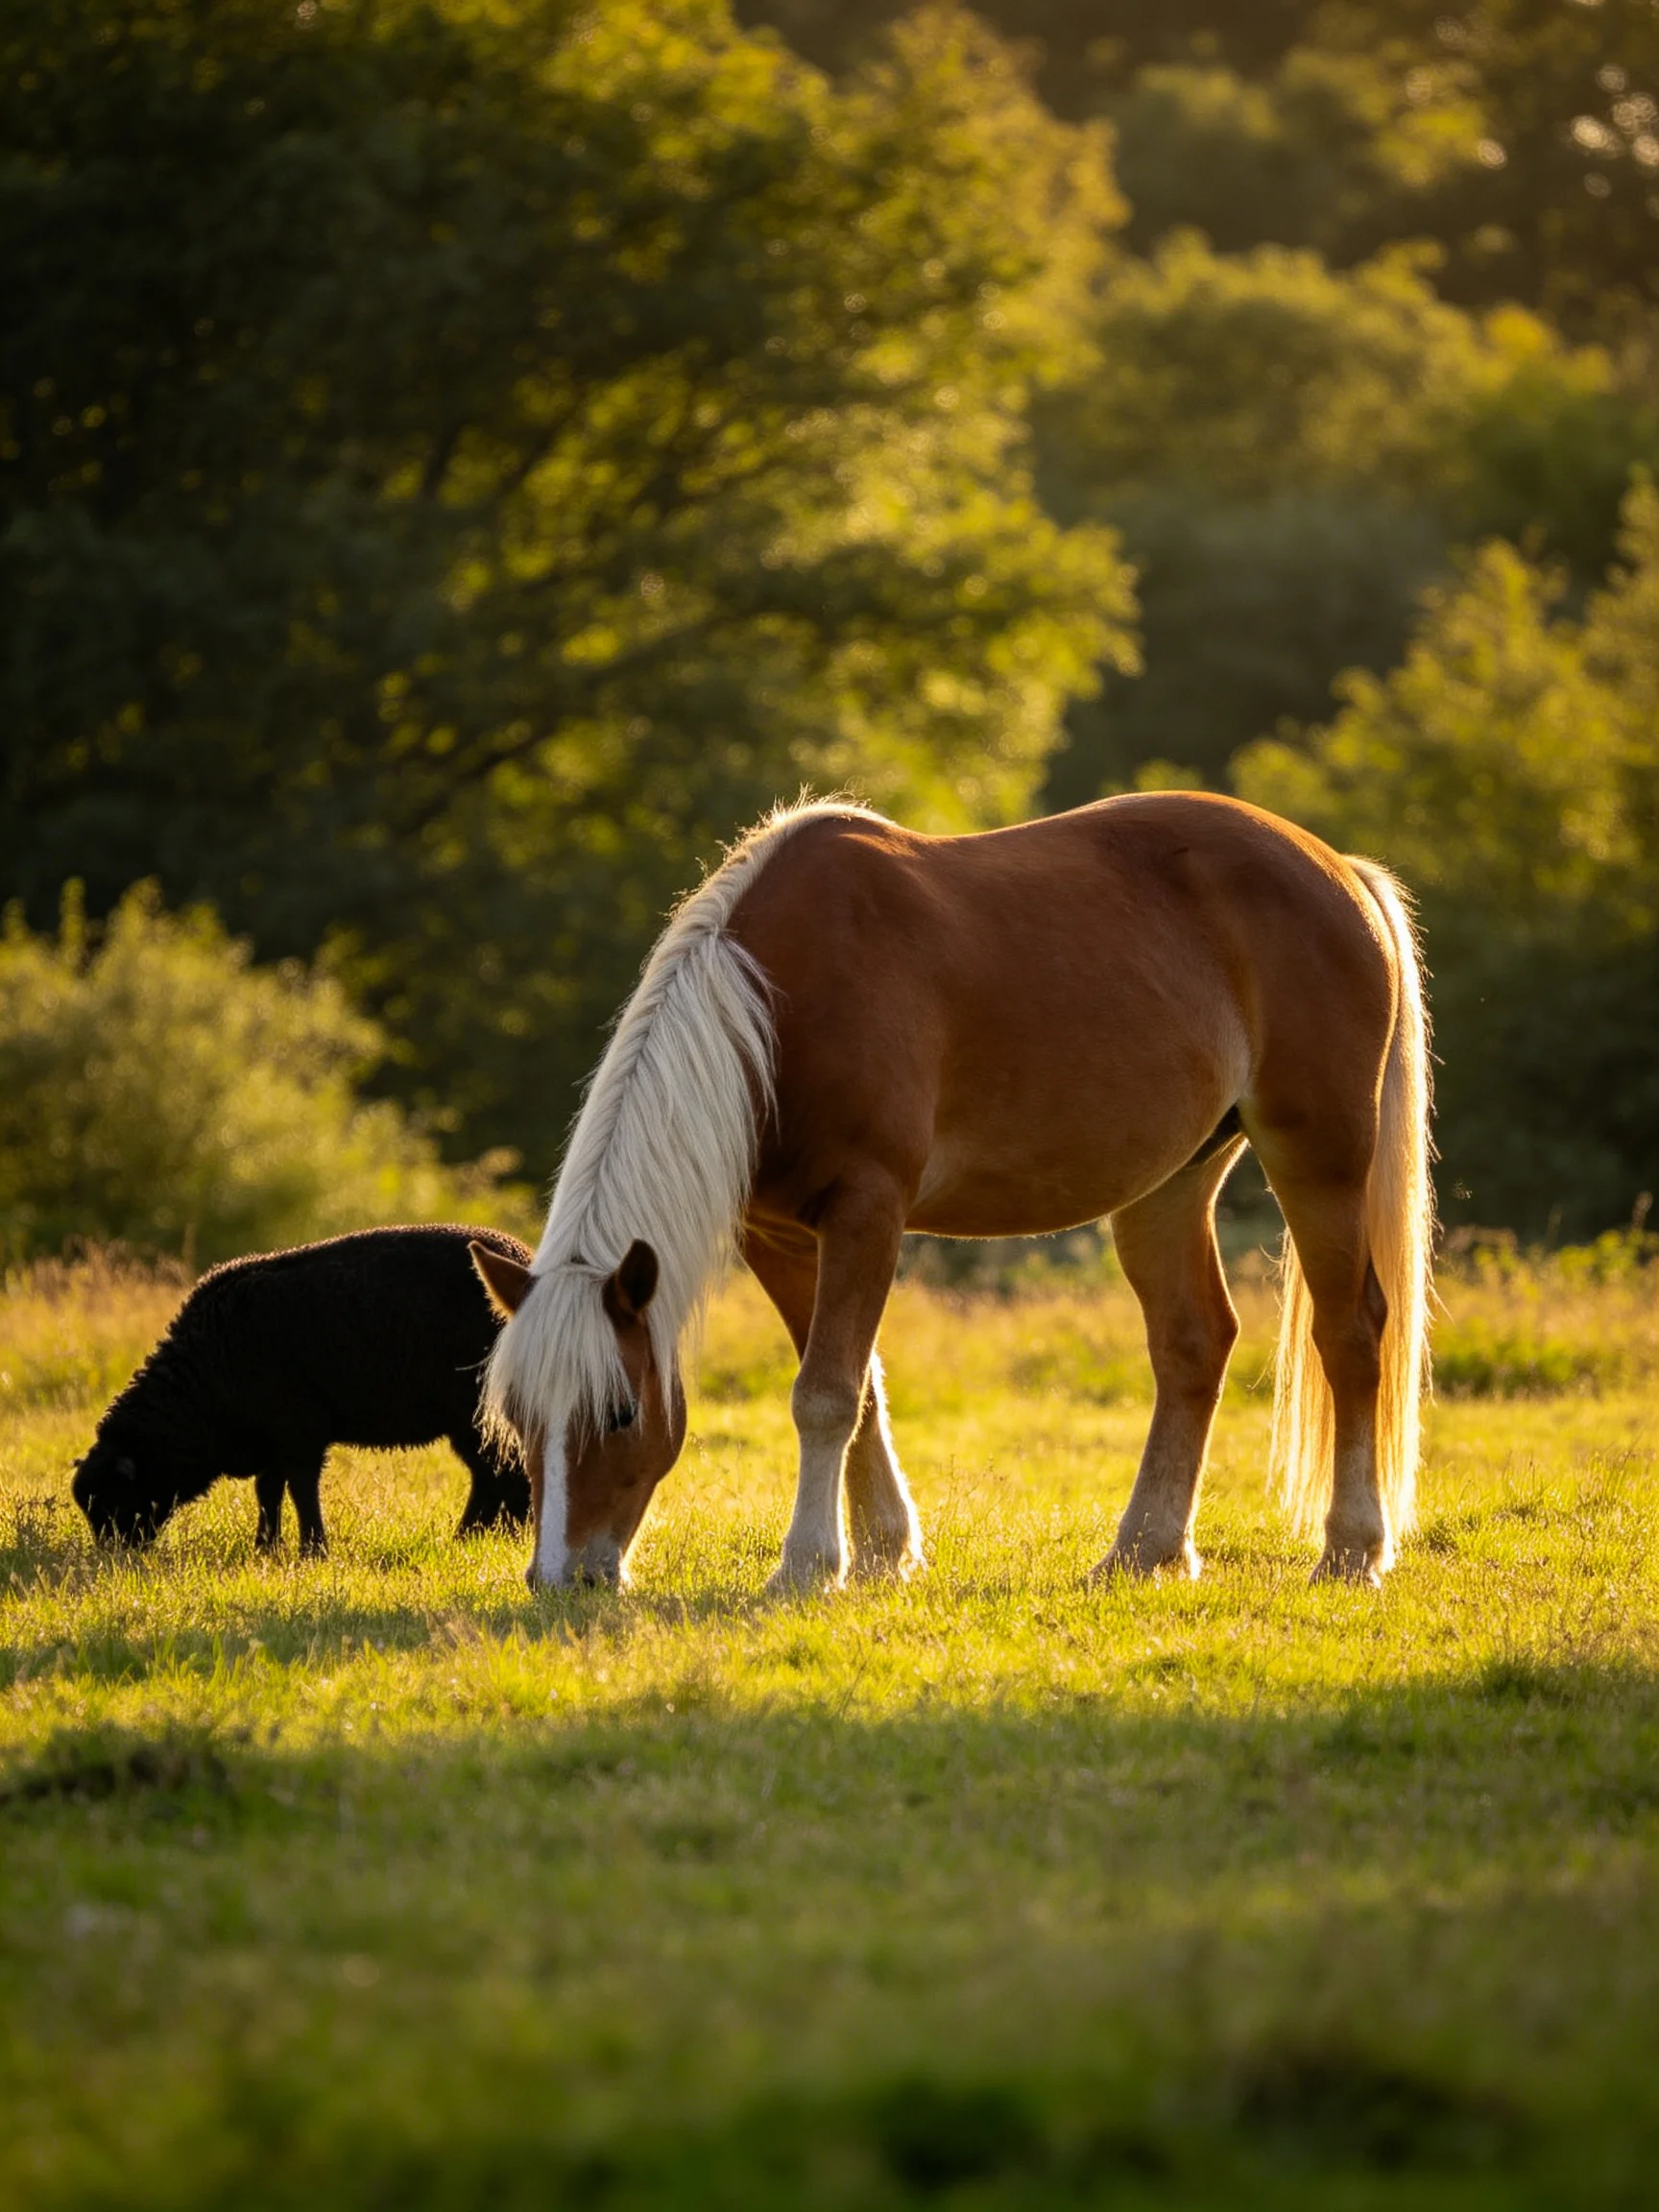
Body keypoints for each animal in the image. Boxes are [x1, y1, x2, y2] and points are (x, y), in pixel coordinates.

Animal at [470, 792, 1432, 1595]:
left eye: (620, 1411)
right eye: (519, 1416)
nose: (561, 1579)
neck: (775, 1008)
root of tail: (1341, 870)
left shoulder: (868, 1211)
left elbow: (826, 1393)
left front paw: (807, 1566)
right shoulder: (778, 1236)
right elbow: (856, 1391)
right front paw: (882, 1553)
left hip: (1320, 1160)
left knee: (1350, 1333)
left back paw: (1351, 1551)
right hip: (1169, 1186)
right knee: (1193, 1345)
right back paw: (1143, 1551)